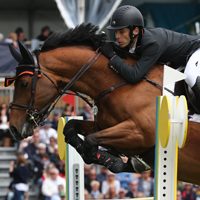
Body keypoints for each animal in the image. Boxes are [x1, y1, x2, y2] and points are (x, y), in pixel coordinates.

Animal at [6, 24, 200, 185]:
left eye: (24, 83)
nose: (13, 129)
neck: (121, 85)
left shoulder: (140, 133)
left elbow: (91, 141)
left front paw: (112, 161)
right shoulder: (103, 126)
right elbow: (70, 127)